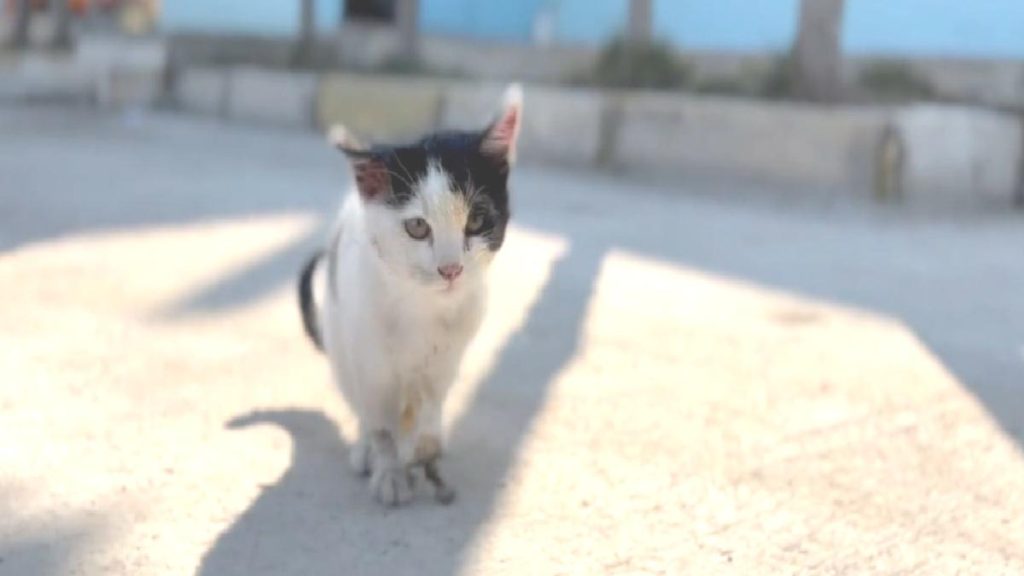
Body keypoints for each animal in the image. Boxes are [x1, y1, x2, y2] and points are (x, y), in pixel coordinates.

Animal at [294, 83, 520, 504]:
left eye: (477, 220)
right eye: (417, 227)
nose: (451, 269)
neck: (420, 306)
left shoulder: (446, 359)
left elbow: (430, 407)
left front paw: (424, 448)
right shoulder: (371, 364)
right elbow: (381, 424)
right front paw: (389, 472)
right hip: (341, 344)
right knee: (362, 404)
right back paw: (366, 449)